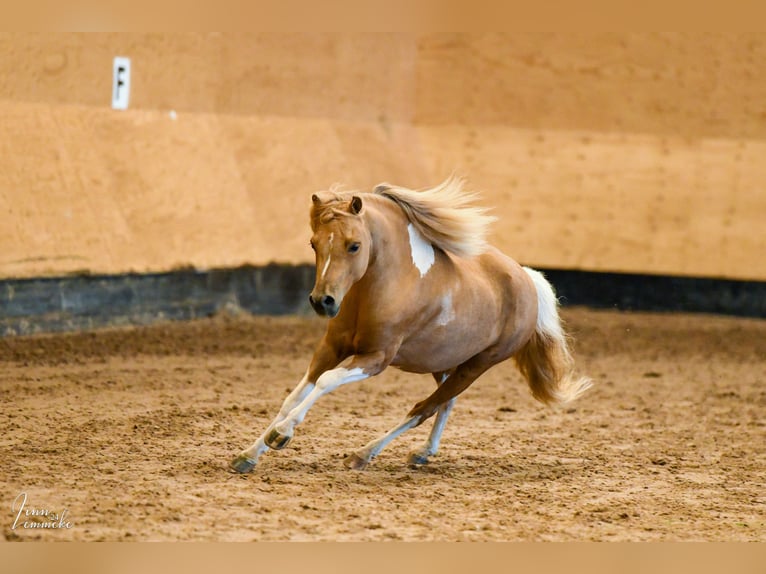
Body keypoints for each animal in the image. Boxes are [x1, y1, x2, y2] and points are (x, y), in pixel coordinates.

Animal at [231, 178, 592, 474]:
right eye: (313, 244)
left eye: (354, 245)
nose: (323, 302)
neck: (388, 285)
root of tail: (527, 278)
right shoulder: (331, 348)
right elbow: (295, 395)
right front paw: (249, 454)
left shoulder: (376, 359)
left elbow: (326, 382)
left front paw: (281, 435)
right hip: (444, 362)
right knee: (444, 403)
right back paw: (422, 453)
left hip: (477, 365)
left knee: (424, 408)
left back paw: (363, 454)